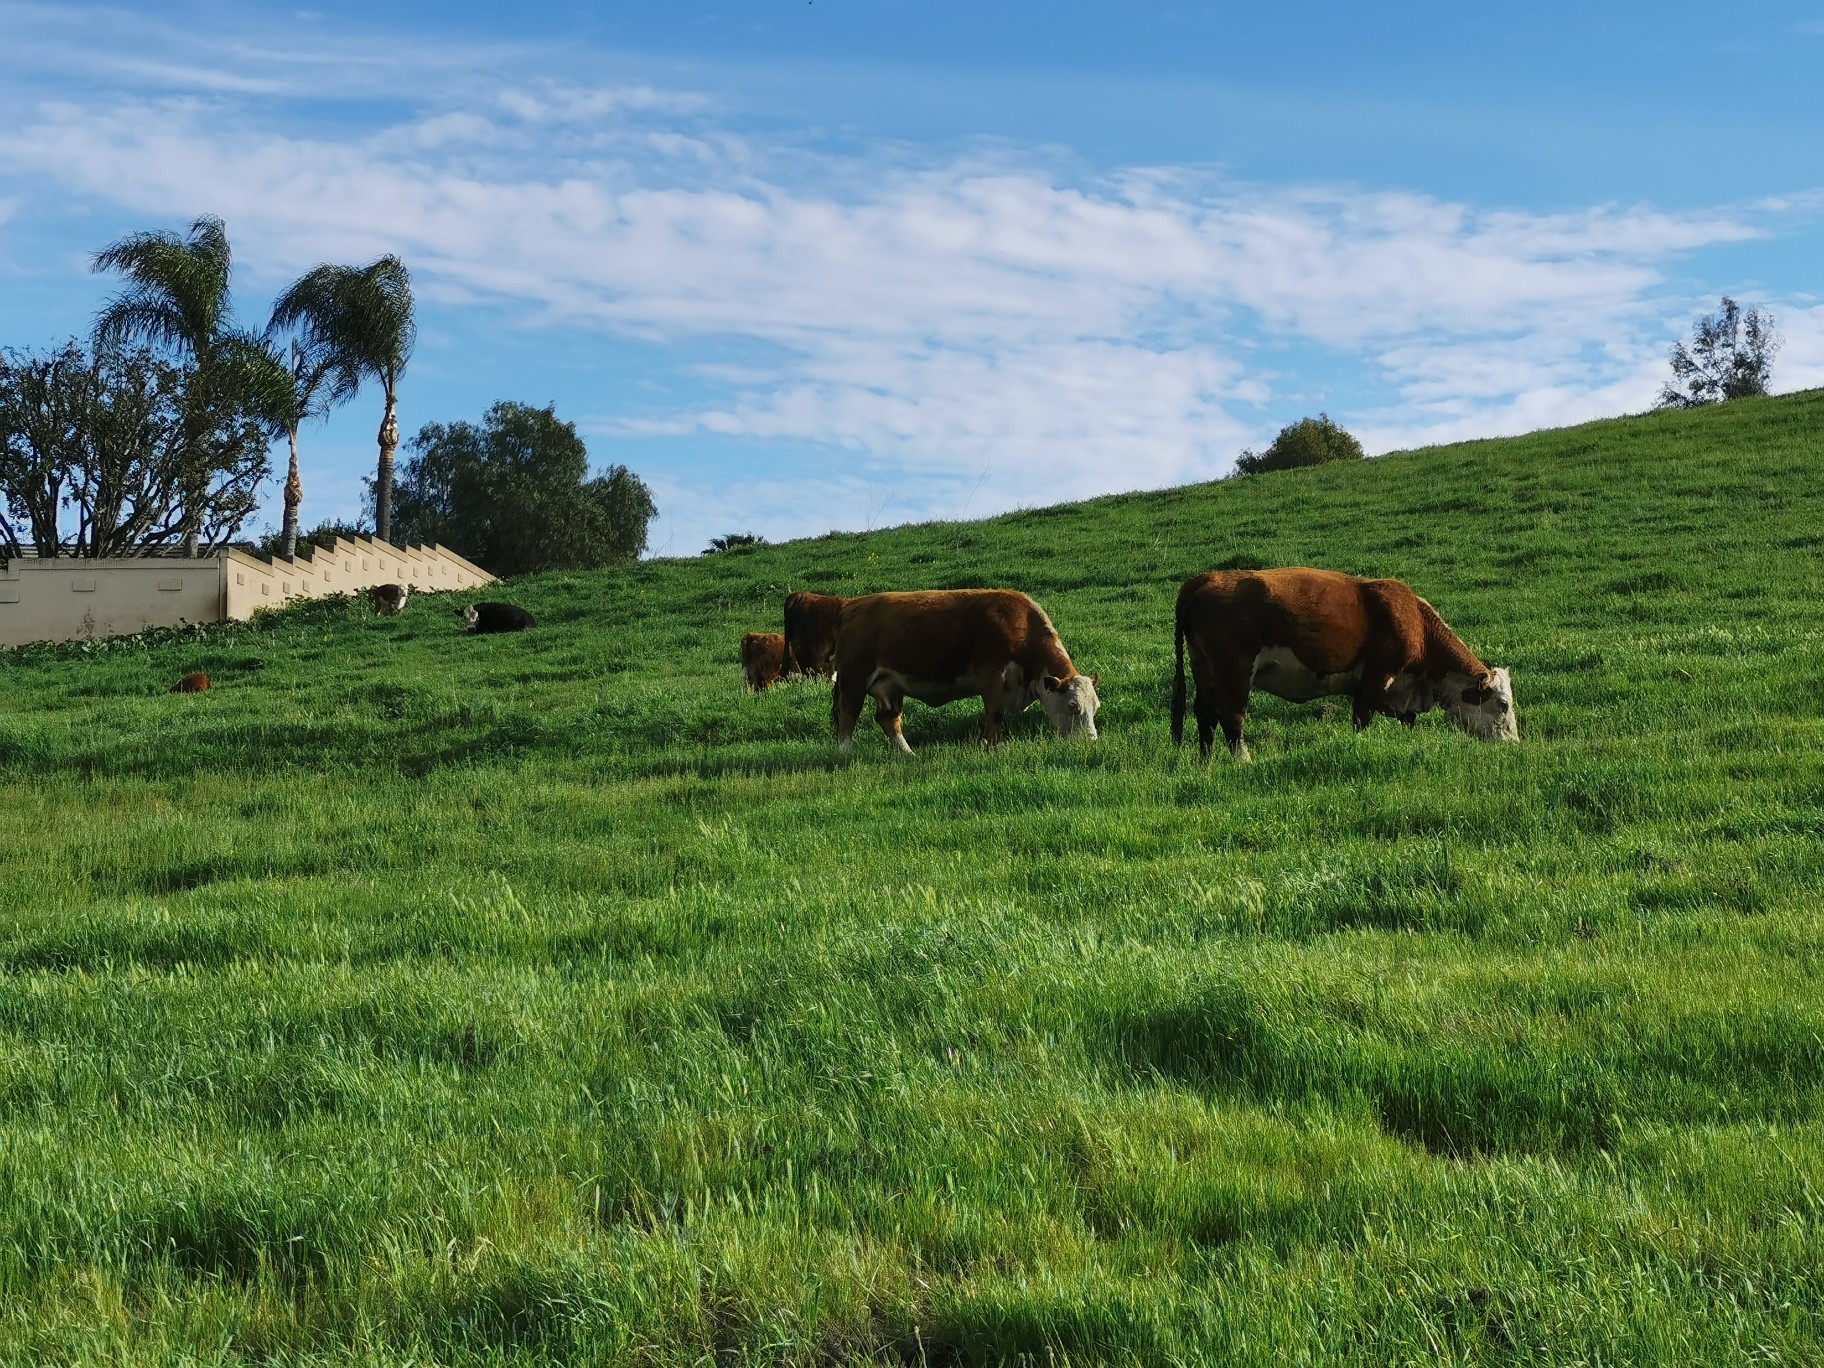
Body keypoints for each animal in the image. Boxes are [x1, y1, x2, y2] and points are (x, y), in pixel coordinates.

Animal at [835, 590, 1094, 762]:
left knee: (888, 719)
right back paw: (845, 753)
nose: (1091, 740)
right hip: (854, 679)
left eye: (1096, 707)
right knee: (848, 714)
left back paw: (908, 753)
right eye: (1072, 706)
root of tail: (853, 604)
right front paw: (997, 746)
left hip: (890, 687)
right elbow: (995, 714)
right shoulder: (992, 676)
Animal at [1174, 565, 1517, 762]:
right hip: (1234, 670)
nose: (1514, 744)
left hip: (1203, 668)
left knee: (1204, 713)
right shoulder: (1375, 677)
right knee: (1232, 716)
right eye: (1503, 704)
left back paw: (1205, 762)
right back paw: (1242, 760)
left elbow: (1408, 721)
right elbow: (1361, 719)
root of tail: (1208, 577)